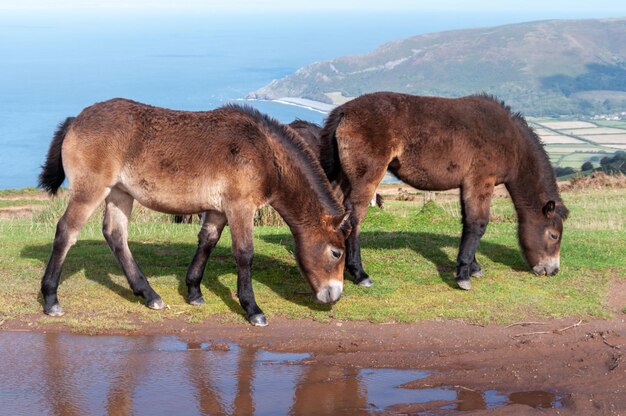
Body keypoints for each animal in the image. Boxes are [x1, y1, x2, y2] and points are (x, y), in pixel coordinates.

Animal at [39, 99, 352, 326]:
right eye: (336, 252)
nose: (335, 294)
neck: (264, 153)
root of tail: (76, 120)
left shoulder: (218, 210)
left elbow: (207, 243)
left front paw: (194, 292)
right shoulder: (240, 207)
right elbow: (244, 254)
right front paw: (252, 309)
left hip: (120, 193)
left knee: (115, 235)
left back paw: (149, 295)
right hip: (91, 190)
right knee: (66, 231)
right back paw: (51, 299)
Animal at [320, 92, 568, 290]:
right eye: (553, 235)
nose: (553, 270)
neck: (511, 141)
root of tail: (344, 111)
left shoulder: (467, 184)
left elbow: (467, 222)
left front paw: (473, 266)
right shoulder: (481, 181)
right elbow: (478, 224)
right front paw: (463, 274)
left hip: (344, 178)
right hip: (366, 179)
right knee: (355, 218)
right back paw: (360, 274)